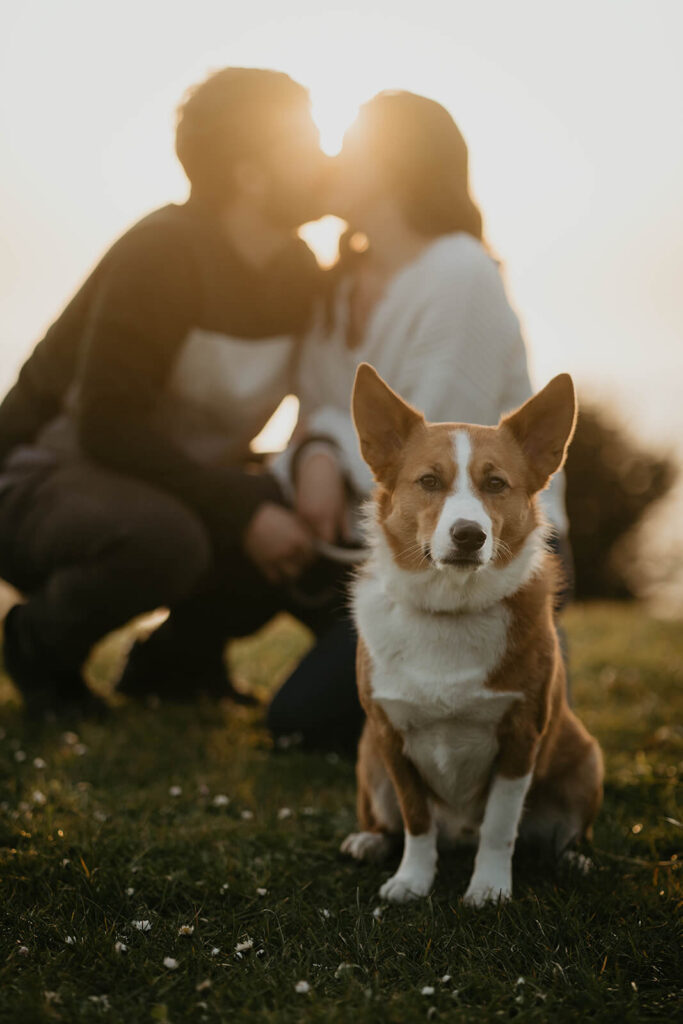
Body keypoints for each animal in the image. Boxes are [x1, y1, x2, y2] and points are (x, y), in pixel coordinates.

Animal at [342, 362, 602, 905]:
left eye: (496, 483)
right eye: (429, 480)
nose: (469, 535)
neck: (451, 609)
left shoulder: (521, 737)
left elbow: (500, 827)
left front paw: (488, 889)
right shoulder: (391, 738)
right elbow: (417, 823)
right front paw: (412, 880)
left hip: (588, 761)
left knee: (563, 834)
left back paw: (574, 859)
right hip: (368, 761)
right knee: (390, 823)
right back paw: (369, 841)